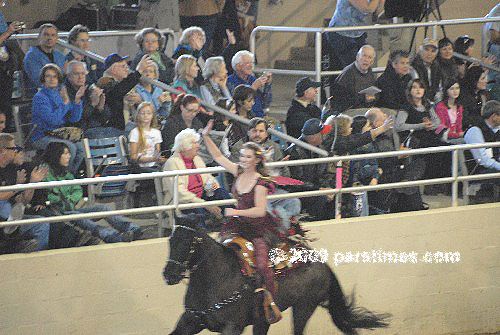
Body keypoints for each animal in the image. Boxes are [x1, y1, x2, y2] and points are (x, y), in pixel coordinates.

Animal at [164, 215, 390, 335]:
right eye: (170, 240)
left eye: (188, 242)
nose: (168, 275)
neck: (217, 280)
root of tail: (322, 264)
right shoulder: (189, 322)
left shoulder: (232, 327)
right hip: (264, 320)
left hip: (303, 308)